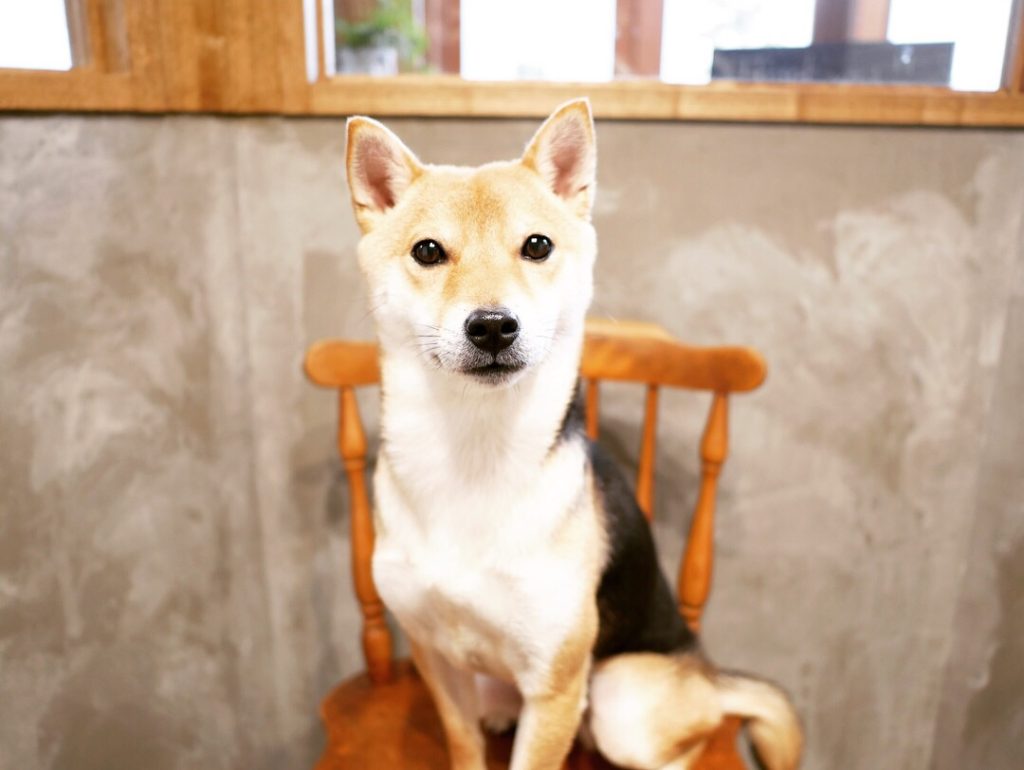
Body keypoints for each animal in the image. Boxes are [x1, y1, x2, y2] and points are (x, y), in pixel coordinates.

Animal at [343, 99, 802, 770]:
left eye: (537, 245)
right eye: (427, 251)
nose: (492, 326)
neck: (475, 447)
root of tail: (706, 672)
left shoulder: (556, 683)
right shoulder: (437, 663)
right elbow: (464, 746)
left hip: (620, 699)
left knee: (690, 738)